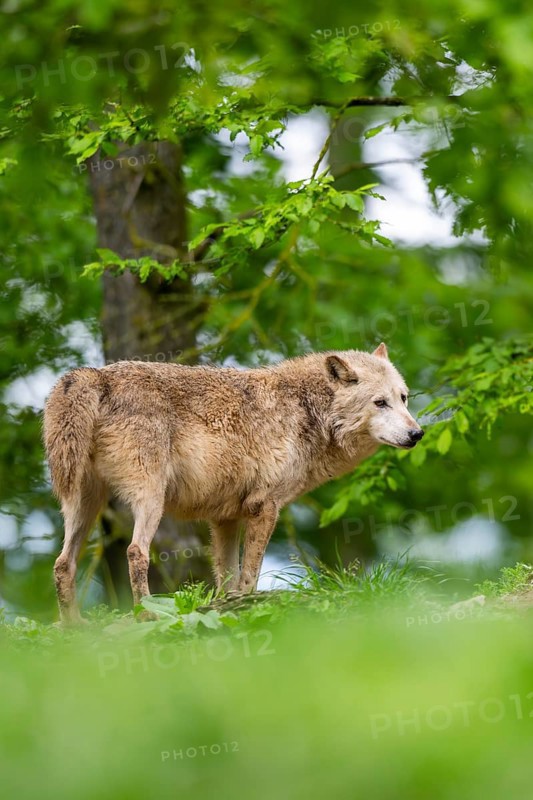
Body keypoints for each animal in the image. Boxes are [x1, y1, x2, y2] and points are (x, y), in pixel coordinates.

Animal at [43, 343, 424, 623]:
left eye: (403, 398)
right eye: (380, 402)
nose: (417, 434)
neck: (306, 411)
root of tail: (93, 375)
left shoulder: (224, 518)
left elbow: (227, 577)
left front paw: (226, 608)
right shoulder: (264, 507)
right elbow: (249, 574)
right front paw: (249, 606)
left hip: (83, 503)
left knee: (63, 563)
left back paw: (73, 628)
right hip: (150, 499)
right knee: (135, 551)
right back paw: (147, 615)